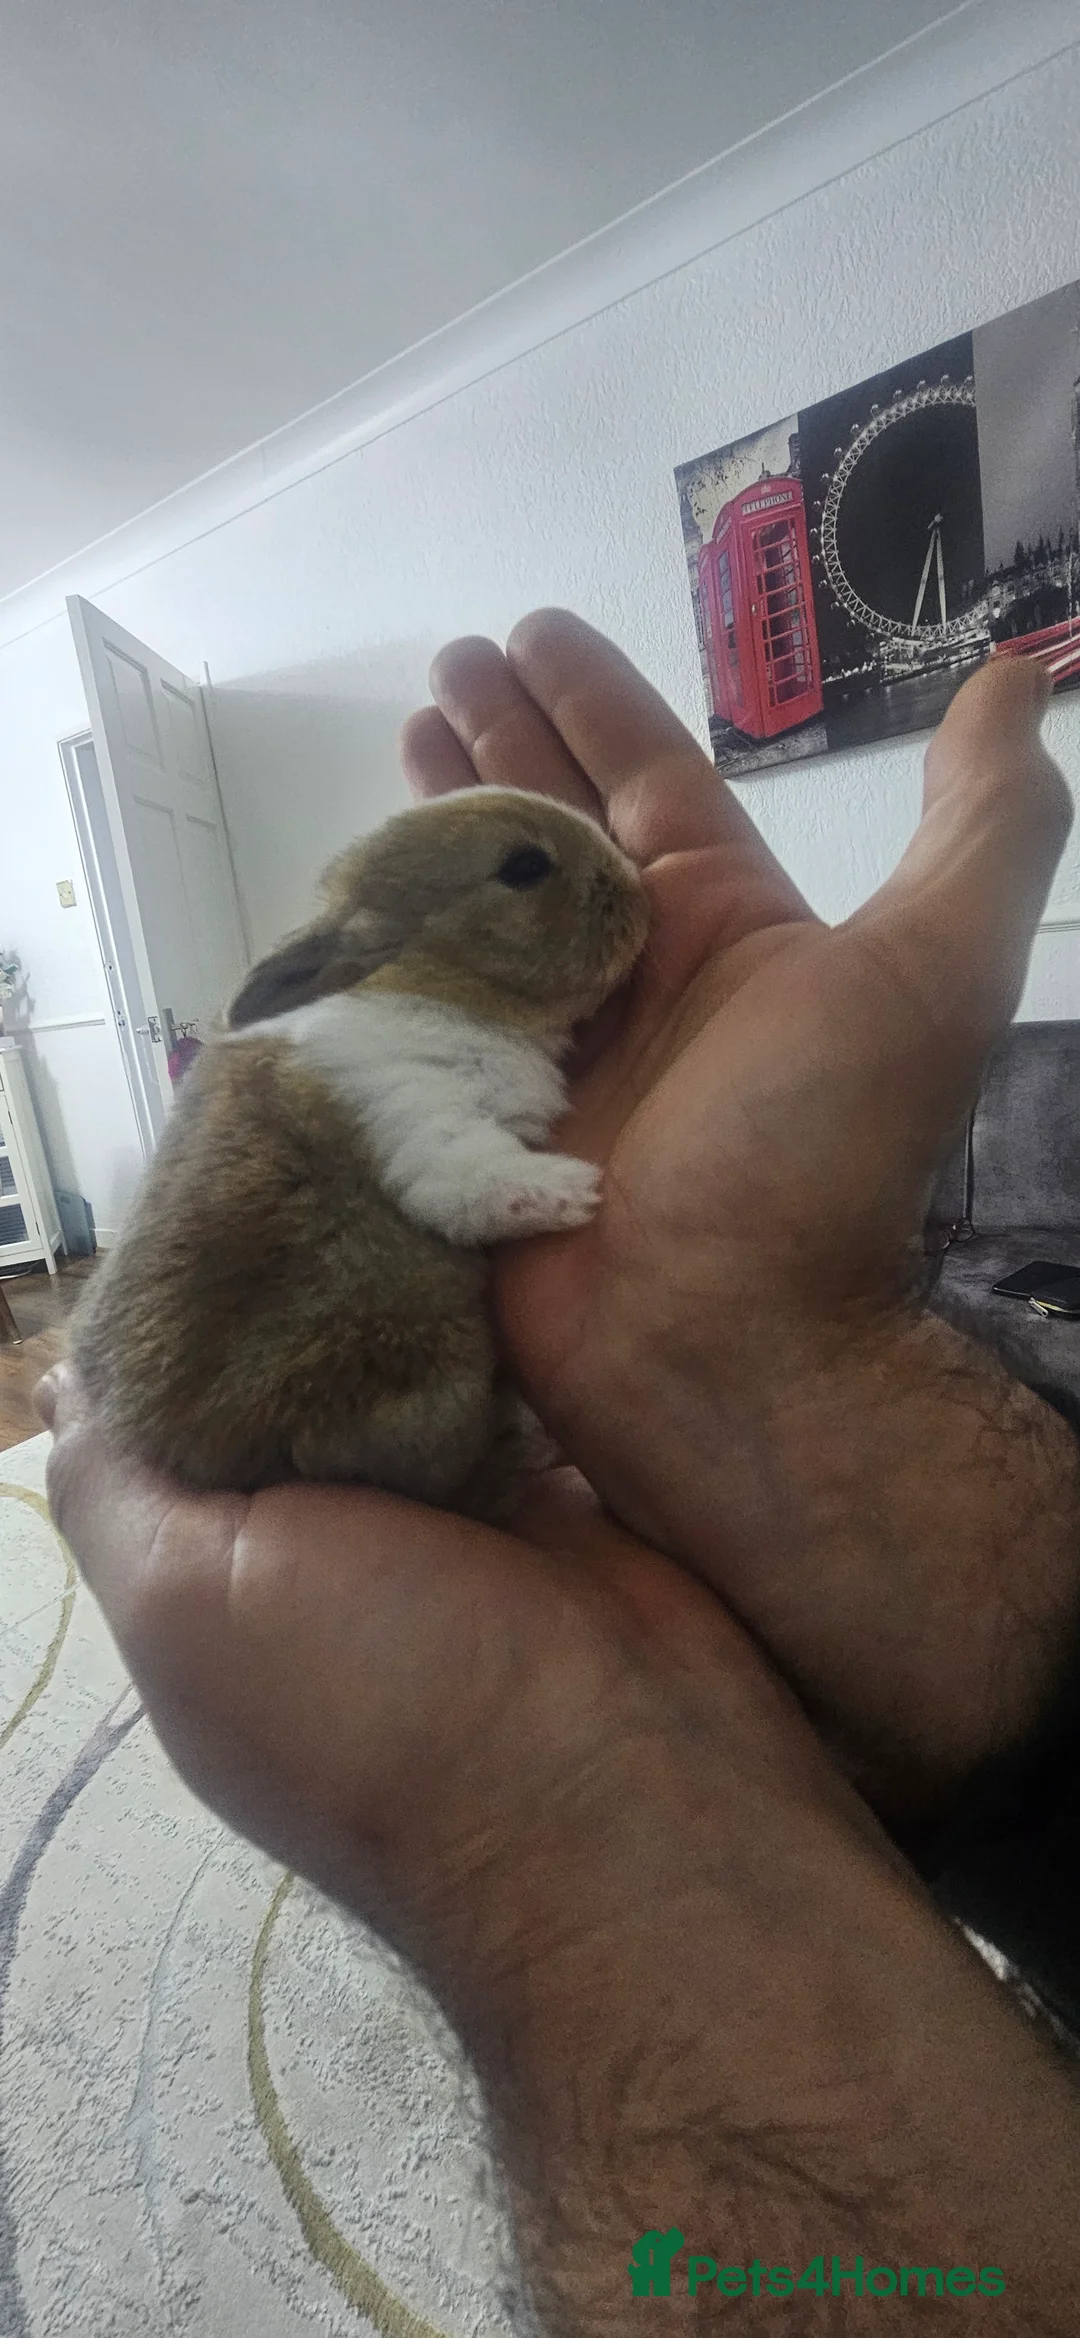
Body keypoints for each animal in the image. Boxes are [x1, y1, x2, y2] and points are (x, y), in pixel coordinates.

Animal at [69, 786, 649, 1511]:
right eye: (523, 866)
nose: (638, 889)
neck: (433, 980)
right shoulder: (416, 1112)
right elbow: (473, 1183)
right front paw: (576, 1191)